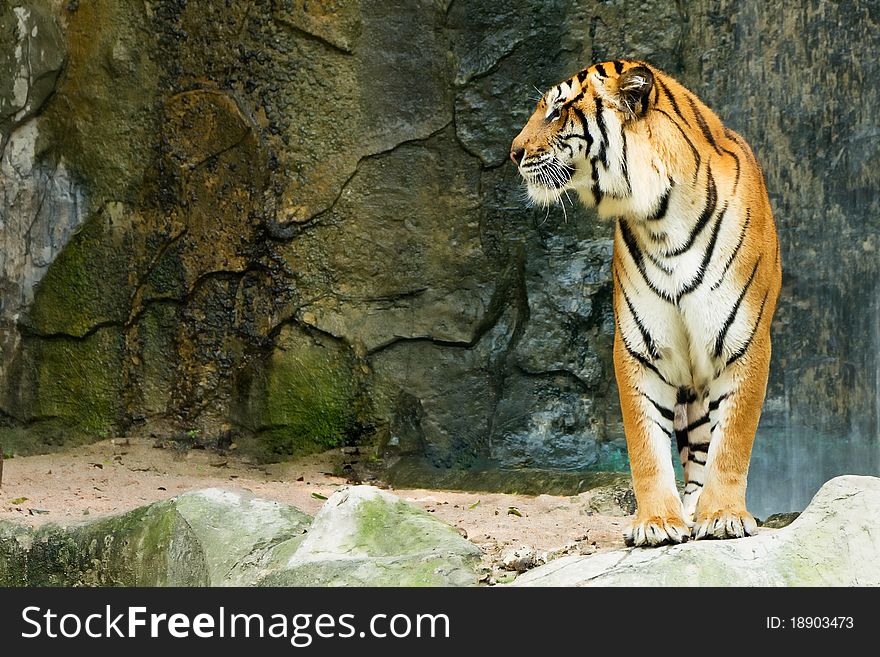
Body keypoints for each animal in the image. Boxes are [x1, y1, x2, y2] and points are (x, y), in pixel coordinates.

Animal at [512, 60, 780, 544]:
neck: (662, 216)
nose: (512, 153)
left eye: (557, 111)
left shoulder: (744, 341)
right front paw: (657, 522)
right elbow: (646, 444)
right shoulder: (642, 347)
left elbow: (732, 441)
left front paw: (723, 516)